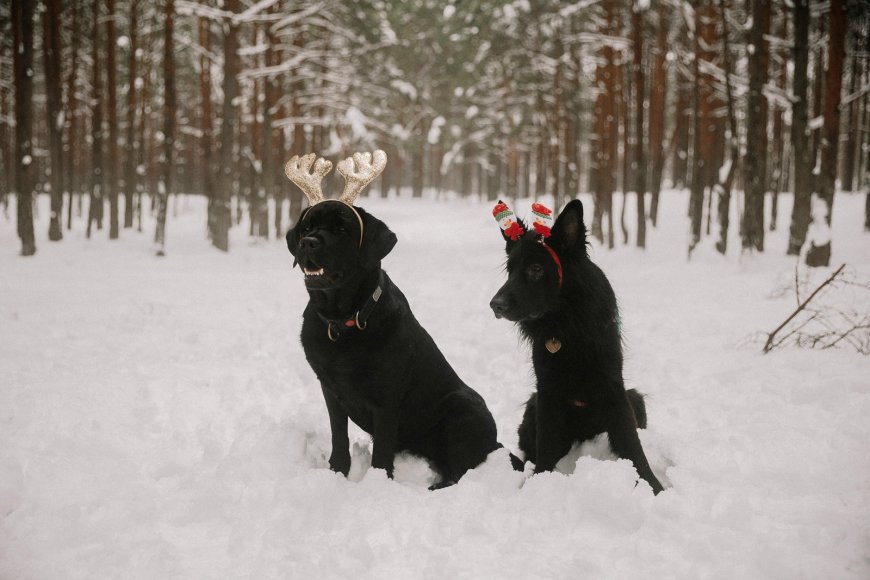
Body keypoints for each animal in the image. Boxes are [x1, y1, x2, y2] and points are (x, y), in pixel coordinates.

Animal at [286, 152, 516, 488]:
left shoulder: (386, 397)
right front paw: (337, 472)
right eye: (306, 228)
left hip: (461, 406)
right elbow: (339, 437)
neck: (344, 318)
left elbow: (382, 449)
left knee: (460, 470)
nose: (308, 243)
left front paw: (377, 484)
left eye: (342, 230)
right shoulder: (330, 388)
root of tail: (495, 442)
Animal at [488, 199, 664, 494]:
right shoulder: (547, 392)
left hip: (635, 399)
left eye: (536, 268)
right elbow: (546, 445)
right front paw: (538, 483)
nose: (495, 305)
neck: (567, 322)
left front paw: (655, 488)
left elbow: (632, 445)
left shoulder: (614, 387)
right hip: (533, 408)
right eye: (510, 269)